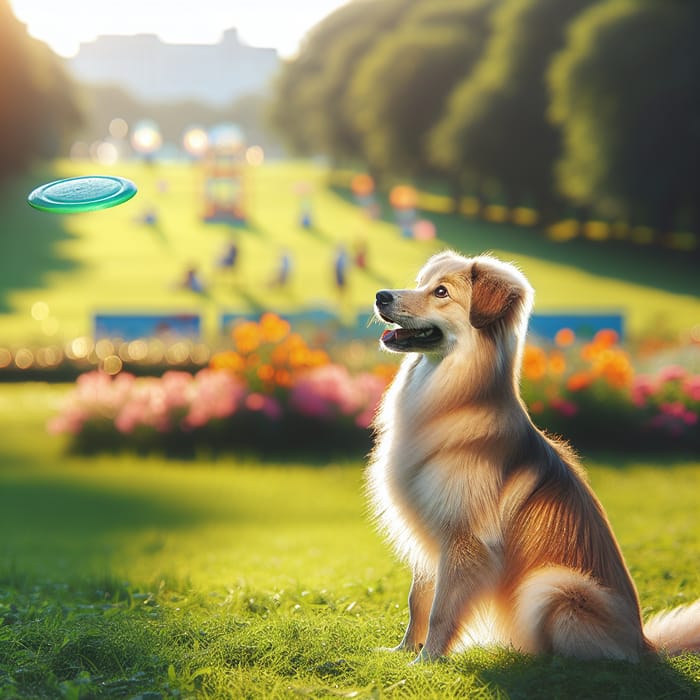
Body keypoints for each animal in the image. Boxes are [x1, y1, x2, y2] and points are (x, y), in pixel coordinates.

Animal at [366, 250, 700, 660]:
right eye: (420, 283)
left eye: (441, 292)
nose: (381, 296)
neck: (451, 396)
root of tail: (644, 643)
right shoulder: (430, 534)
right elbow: (419, 600)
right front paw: (402, 651)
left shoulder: (466, 540)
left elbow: (443, 610)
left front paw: (426, 660)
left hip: (554, 587)